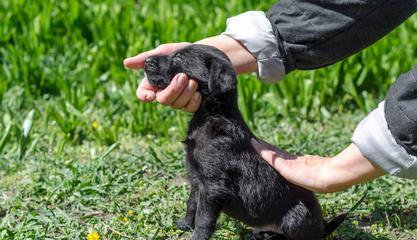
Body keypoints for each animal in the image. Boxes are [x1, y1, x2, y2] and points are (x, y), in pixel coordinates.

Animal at [143, 44, 342, 239]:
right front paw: (185, 224)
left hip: (296, 217)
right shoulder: (196, 179)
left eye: (178, 59)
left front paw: (197, 235)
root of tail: (323, 227)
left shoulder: (213, 186)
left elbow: (203, 218)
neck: (211, 115)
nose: (146, 60)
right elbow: (192, 204)